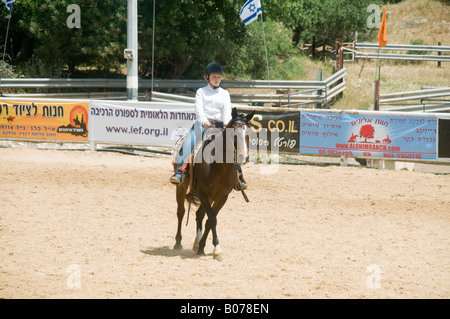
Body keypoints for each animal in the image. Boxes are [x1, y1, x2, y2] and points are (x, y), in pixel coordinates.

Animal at [174, 107, 255, 260]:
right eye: (233, 133)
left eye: (248, 133)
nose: (243, 156)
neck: (218, 166)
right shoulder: (203, 193)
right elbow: (212, 219)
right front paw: (217, 249)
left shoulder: (222, 196)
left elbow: (210, 220)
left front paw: (203, 247)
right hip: (181, 188)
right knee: (181, 212)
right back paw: (178, 243)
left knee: (199, 214)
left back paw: (197, 243)